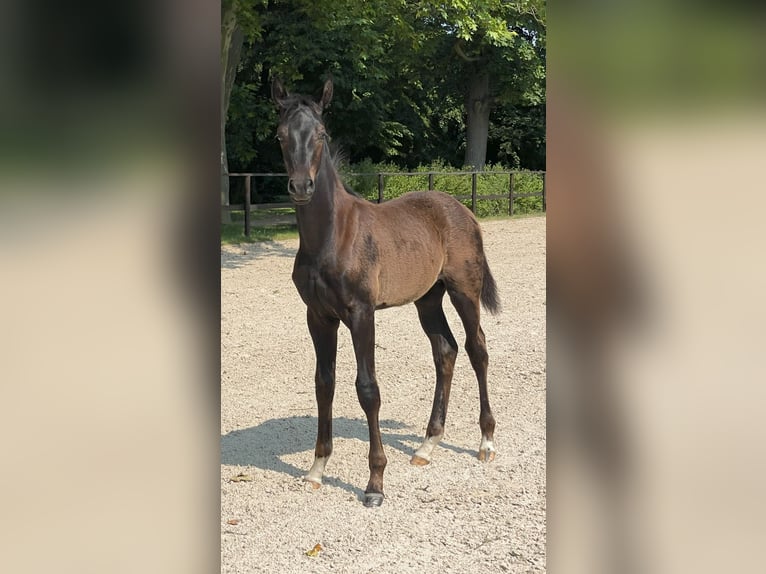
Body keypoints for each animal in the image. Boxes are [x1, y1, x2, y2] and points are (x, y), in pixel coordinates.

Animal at [272, 77, 500, 508]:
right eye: (280, 135)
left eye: (321, 134)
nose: (301, 186)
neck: (330, 237)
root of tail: (463, 209)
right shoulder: (318, 317)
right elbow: (323, 383)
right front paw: (316, 469)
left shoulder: (361, 313)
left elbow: (367, 389)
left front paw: (375, 483)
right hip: (428, 298)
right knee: (445, 351)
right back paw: (427, 445)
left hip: (464, 289)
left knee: (477, 349)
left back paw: (486, 442)